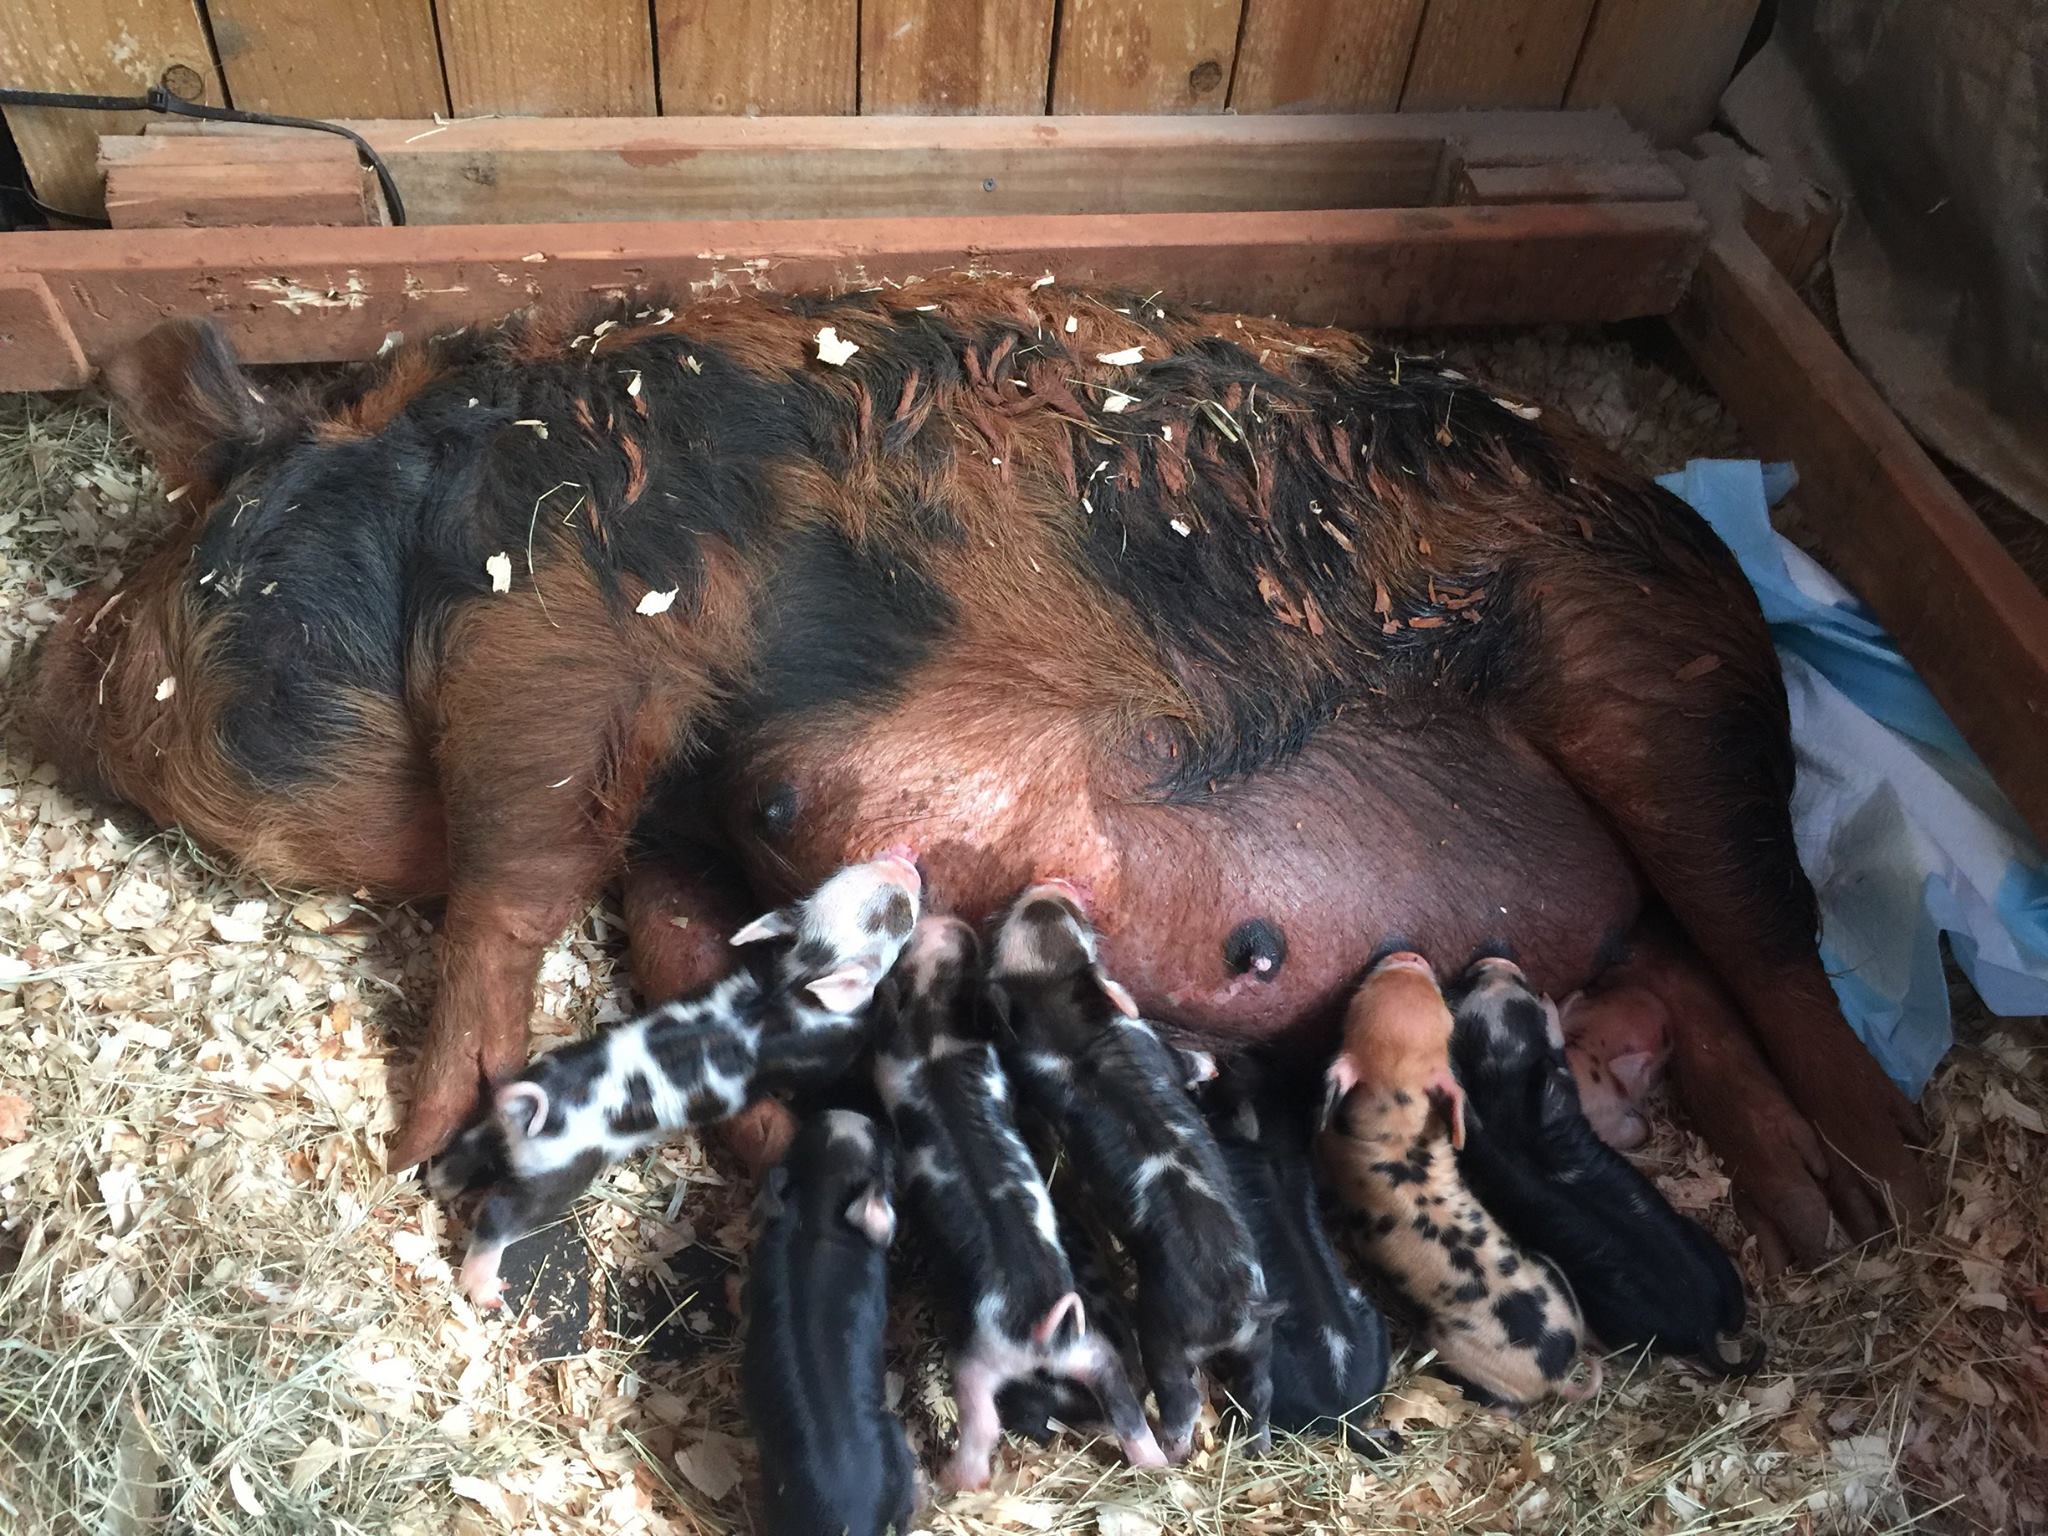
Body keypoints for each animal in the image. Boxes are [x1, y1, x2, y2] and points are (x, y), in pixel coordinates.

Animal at [428, 853, 919, 1306]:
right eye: (895, 916)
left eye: (845, 872)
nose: (905, 858)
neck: (797, 980)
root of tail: (532, 1103)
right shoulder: (827, 1052)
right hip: (557, 1175)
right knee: (500, 1214)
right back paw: (489, 1291)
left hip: (495, 1120)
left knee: (466, 1149)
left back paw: (441, 1184)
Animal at [873, 914, 1163, 1489]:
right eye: (963, 952)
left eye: (905, 954)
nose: (950, 922)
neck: (936, 1021)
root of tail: (1038, 1327)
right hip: (1087, 1349)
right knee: (1119, 1394)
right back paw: (1158, 1463)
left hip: (980, 1362)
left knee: (982, 1420)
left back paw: (955, 1482)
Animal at [987, 882, 1274, 1460]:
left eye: (1075, 931)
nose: (1050, 894)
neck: (1067, 1019)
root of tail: (1236, 1304)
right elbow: (1188, 1065)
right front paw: (1211, 1065)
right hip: (1228, 1345)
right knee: (1249, 1394)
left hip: (1169, 1336)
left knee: (1189, 1402)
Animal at [1317, 952, 1600, 1410]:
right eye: (1443, 1012)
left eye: (1358, 1002)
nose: (1410, 956)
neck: (1397, 1121)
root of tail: (1557, 1372)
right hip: (1551, 1267)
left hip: (1452, 1346)